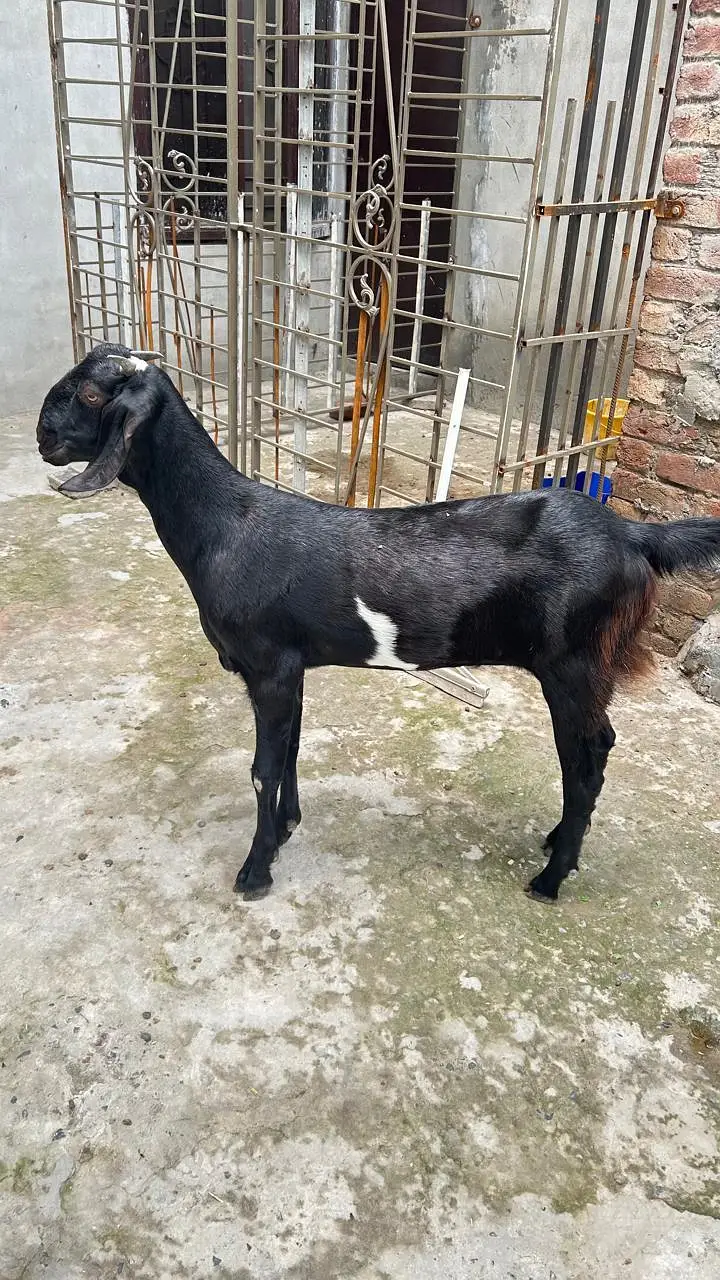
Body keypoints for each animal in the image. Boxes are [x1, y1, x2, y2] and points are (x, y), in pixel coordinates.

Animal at [37, 345, 720, 902]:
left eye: (92, 394)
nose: (42, 435)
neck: (226, 525)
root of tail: (632, 535)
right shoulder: (292, 667)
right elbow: (291, 747)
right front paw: (287, 829)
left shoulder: (267, 665)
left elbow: (261, 769)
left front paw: (254, 872)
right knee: (586, 754)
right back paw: (555, 844)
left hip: (574, 662)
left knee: (587, 755)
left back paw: (550, 880)